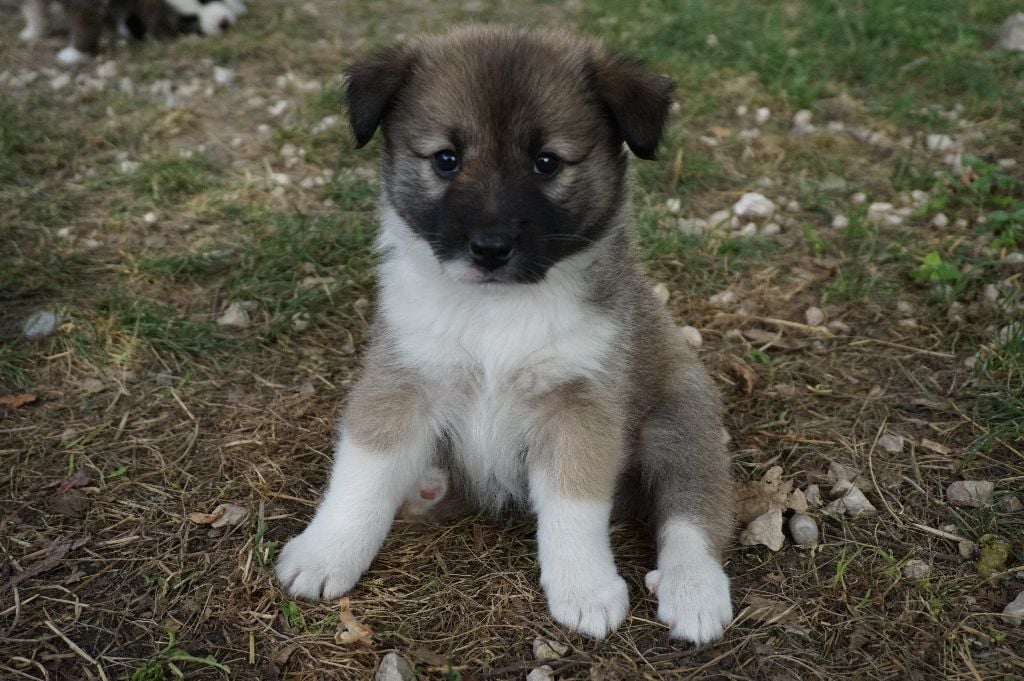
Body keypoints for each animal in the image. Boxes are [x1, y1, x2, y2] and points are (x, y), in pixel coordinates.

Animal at [276, 25, 735, 645]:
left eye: (546, 163)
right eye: (446, 159)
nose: (490, 248)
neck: (495, 310)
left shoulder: (580, 404)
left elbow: (574, 502)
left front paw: (584, 588)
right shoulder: (403, 379)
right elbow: (363, 475)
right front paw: (326, 553)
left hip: (680, 419)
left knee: (694, 510)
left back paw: (694, 590)